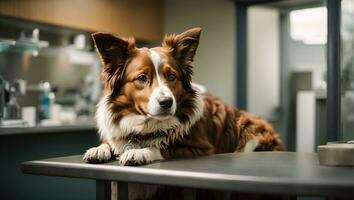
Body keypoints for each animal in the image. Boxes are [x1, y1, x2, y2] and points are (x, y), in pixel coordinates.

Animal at [83, 26, 282, 166]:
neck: (146, 126)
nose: (166, 102)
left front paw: (138, 152)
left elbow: (162, 147)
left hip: (249, 128)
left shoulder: (202, 148)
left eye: (171, 76)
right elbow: (109, 143)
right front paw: (98, 149)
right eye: (142, 78)